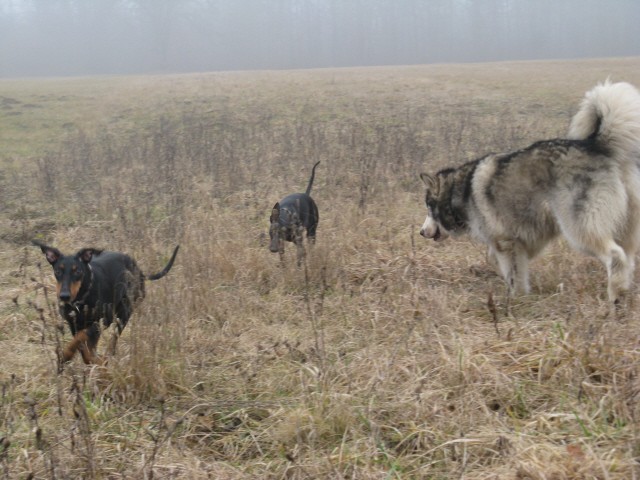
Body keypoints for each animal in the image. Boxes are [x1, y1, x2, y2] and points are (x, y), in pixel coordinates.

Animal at [35, 242, 180, 366]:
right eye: (58, 271)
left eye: (78, 271)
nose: (64, 296)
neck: (82, 298)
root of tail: (140, 272)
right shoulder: (74, 324)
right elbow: (82, 345)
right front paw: (73, 357)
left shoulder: (103, 320)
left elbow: (83, 338)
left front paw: (69, 356)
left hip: (125, 311)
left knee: (113, 339)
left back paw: (106, 356)